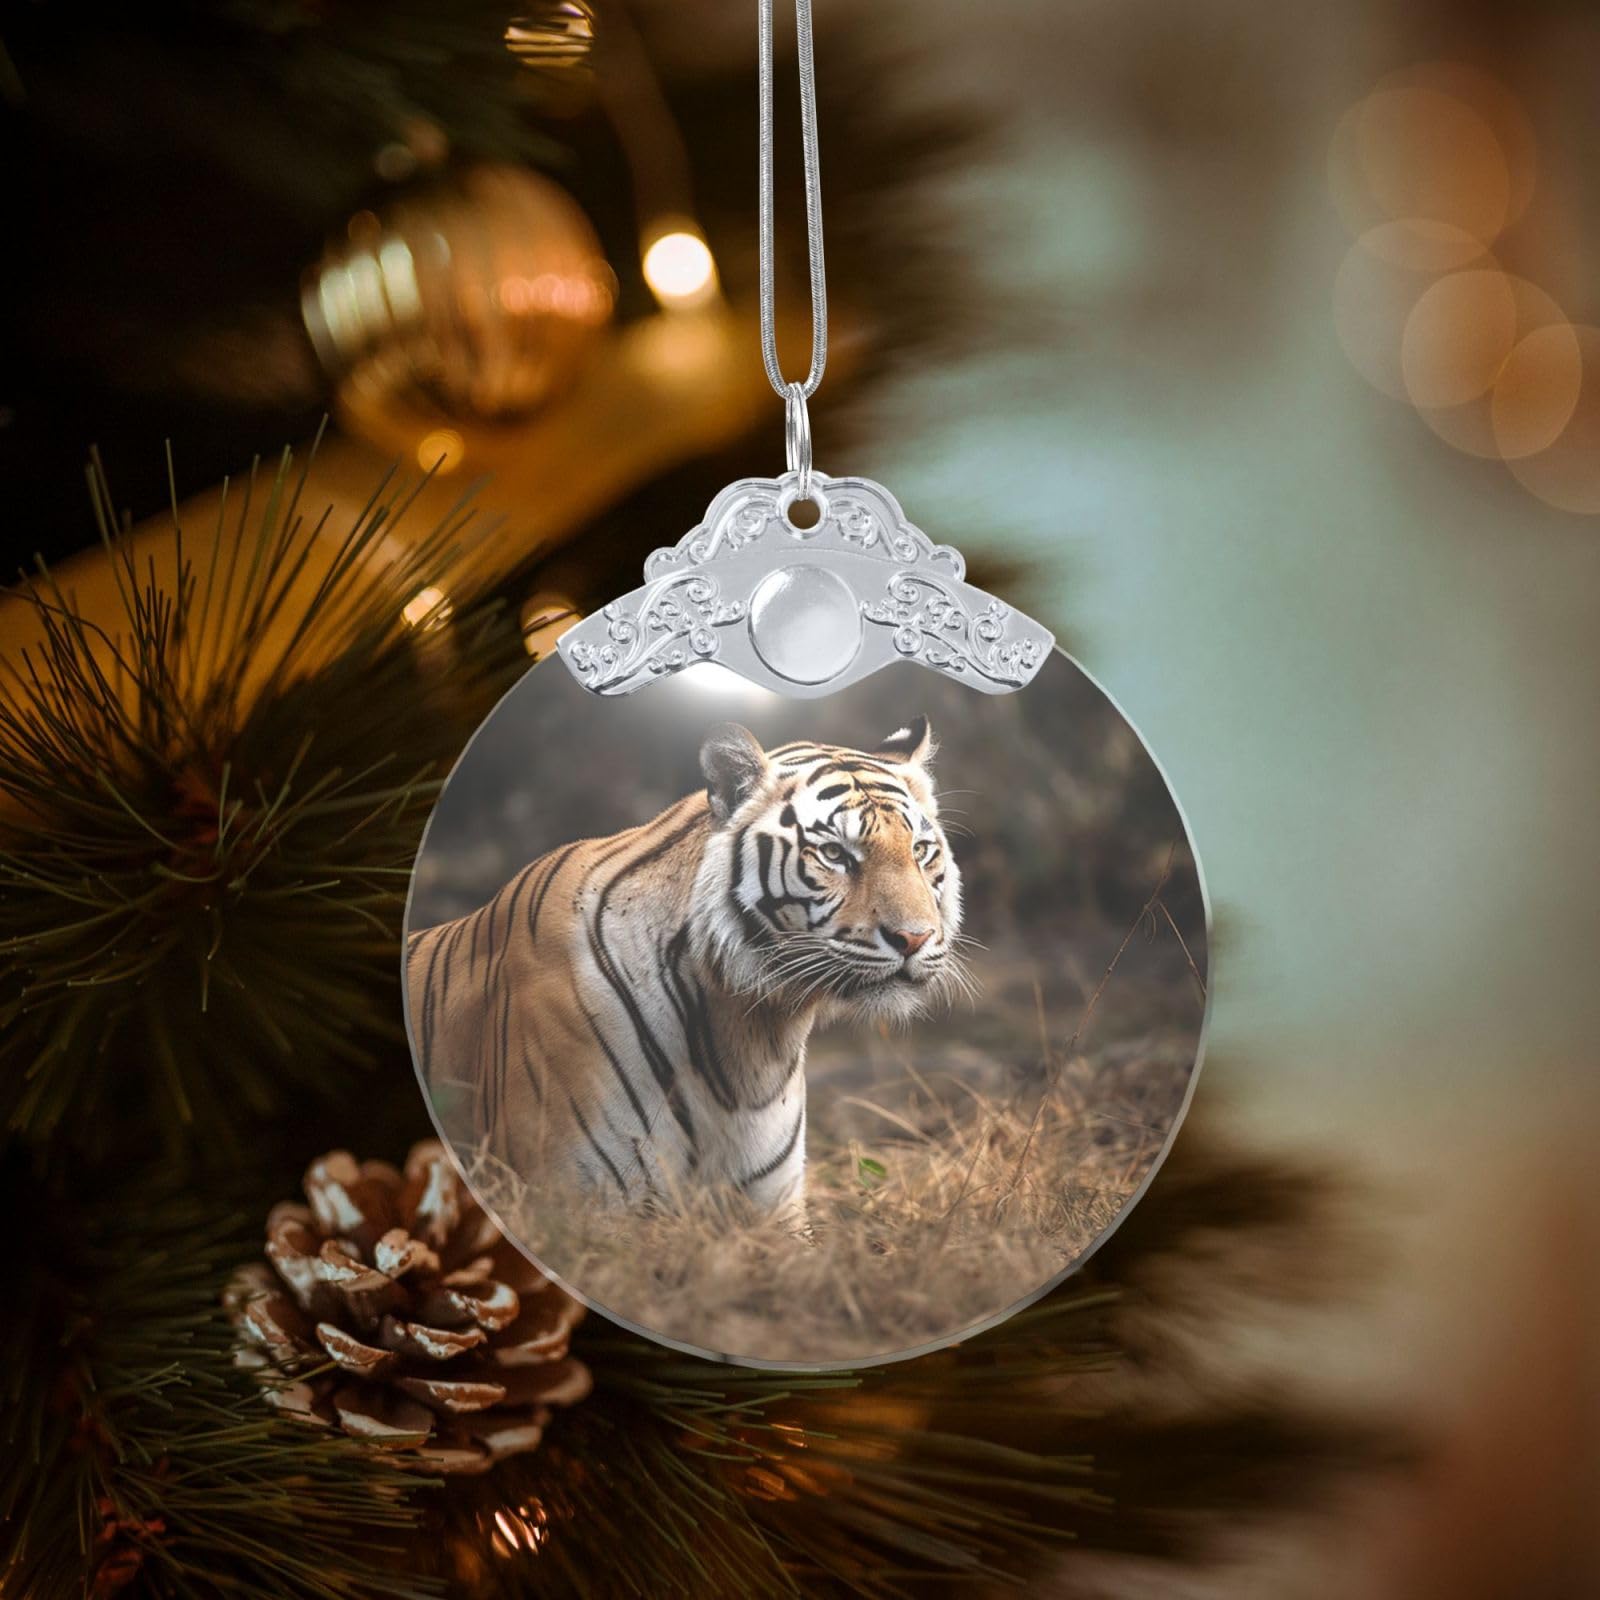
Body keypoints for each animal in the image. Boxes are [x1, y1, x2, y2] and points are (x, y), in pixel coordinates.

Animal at [405, 715, 965, 1219]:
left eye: (921, 850)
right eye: (833, 854)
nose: (915, 937)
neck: (748, 1032)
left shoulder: (775, 1213)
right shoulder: (576, 1209)